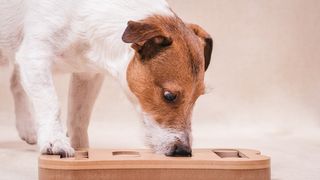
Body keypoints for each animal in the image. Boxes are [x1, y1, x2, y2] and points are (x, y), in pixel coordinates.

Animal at [0, 0, 212, 157]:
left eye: (198, 97)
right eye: (169, 96)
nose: (183, 152)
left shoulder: (87, 75)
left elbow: (79, 117)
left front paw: (81, 149)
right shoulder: (35, 57)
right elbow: (51, 103)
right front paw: (55, 141)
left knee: (16, 83)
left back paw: (27, 128)